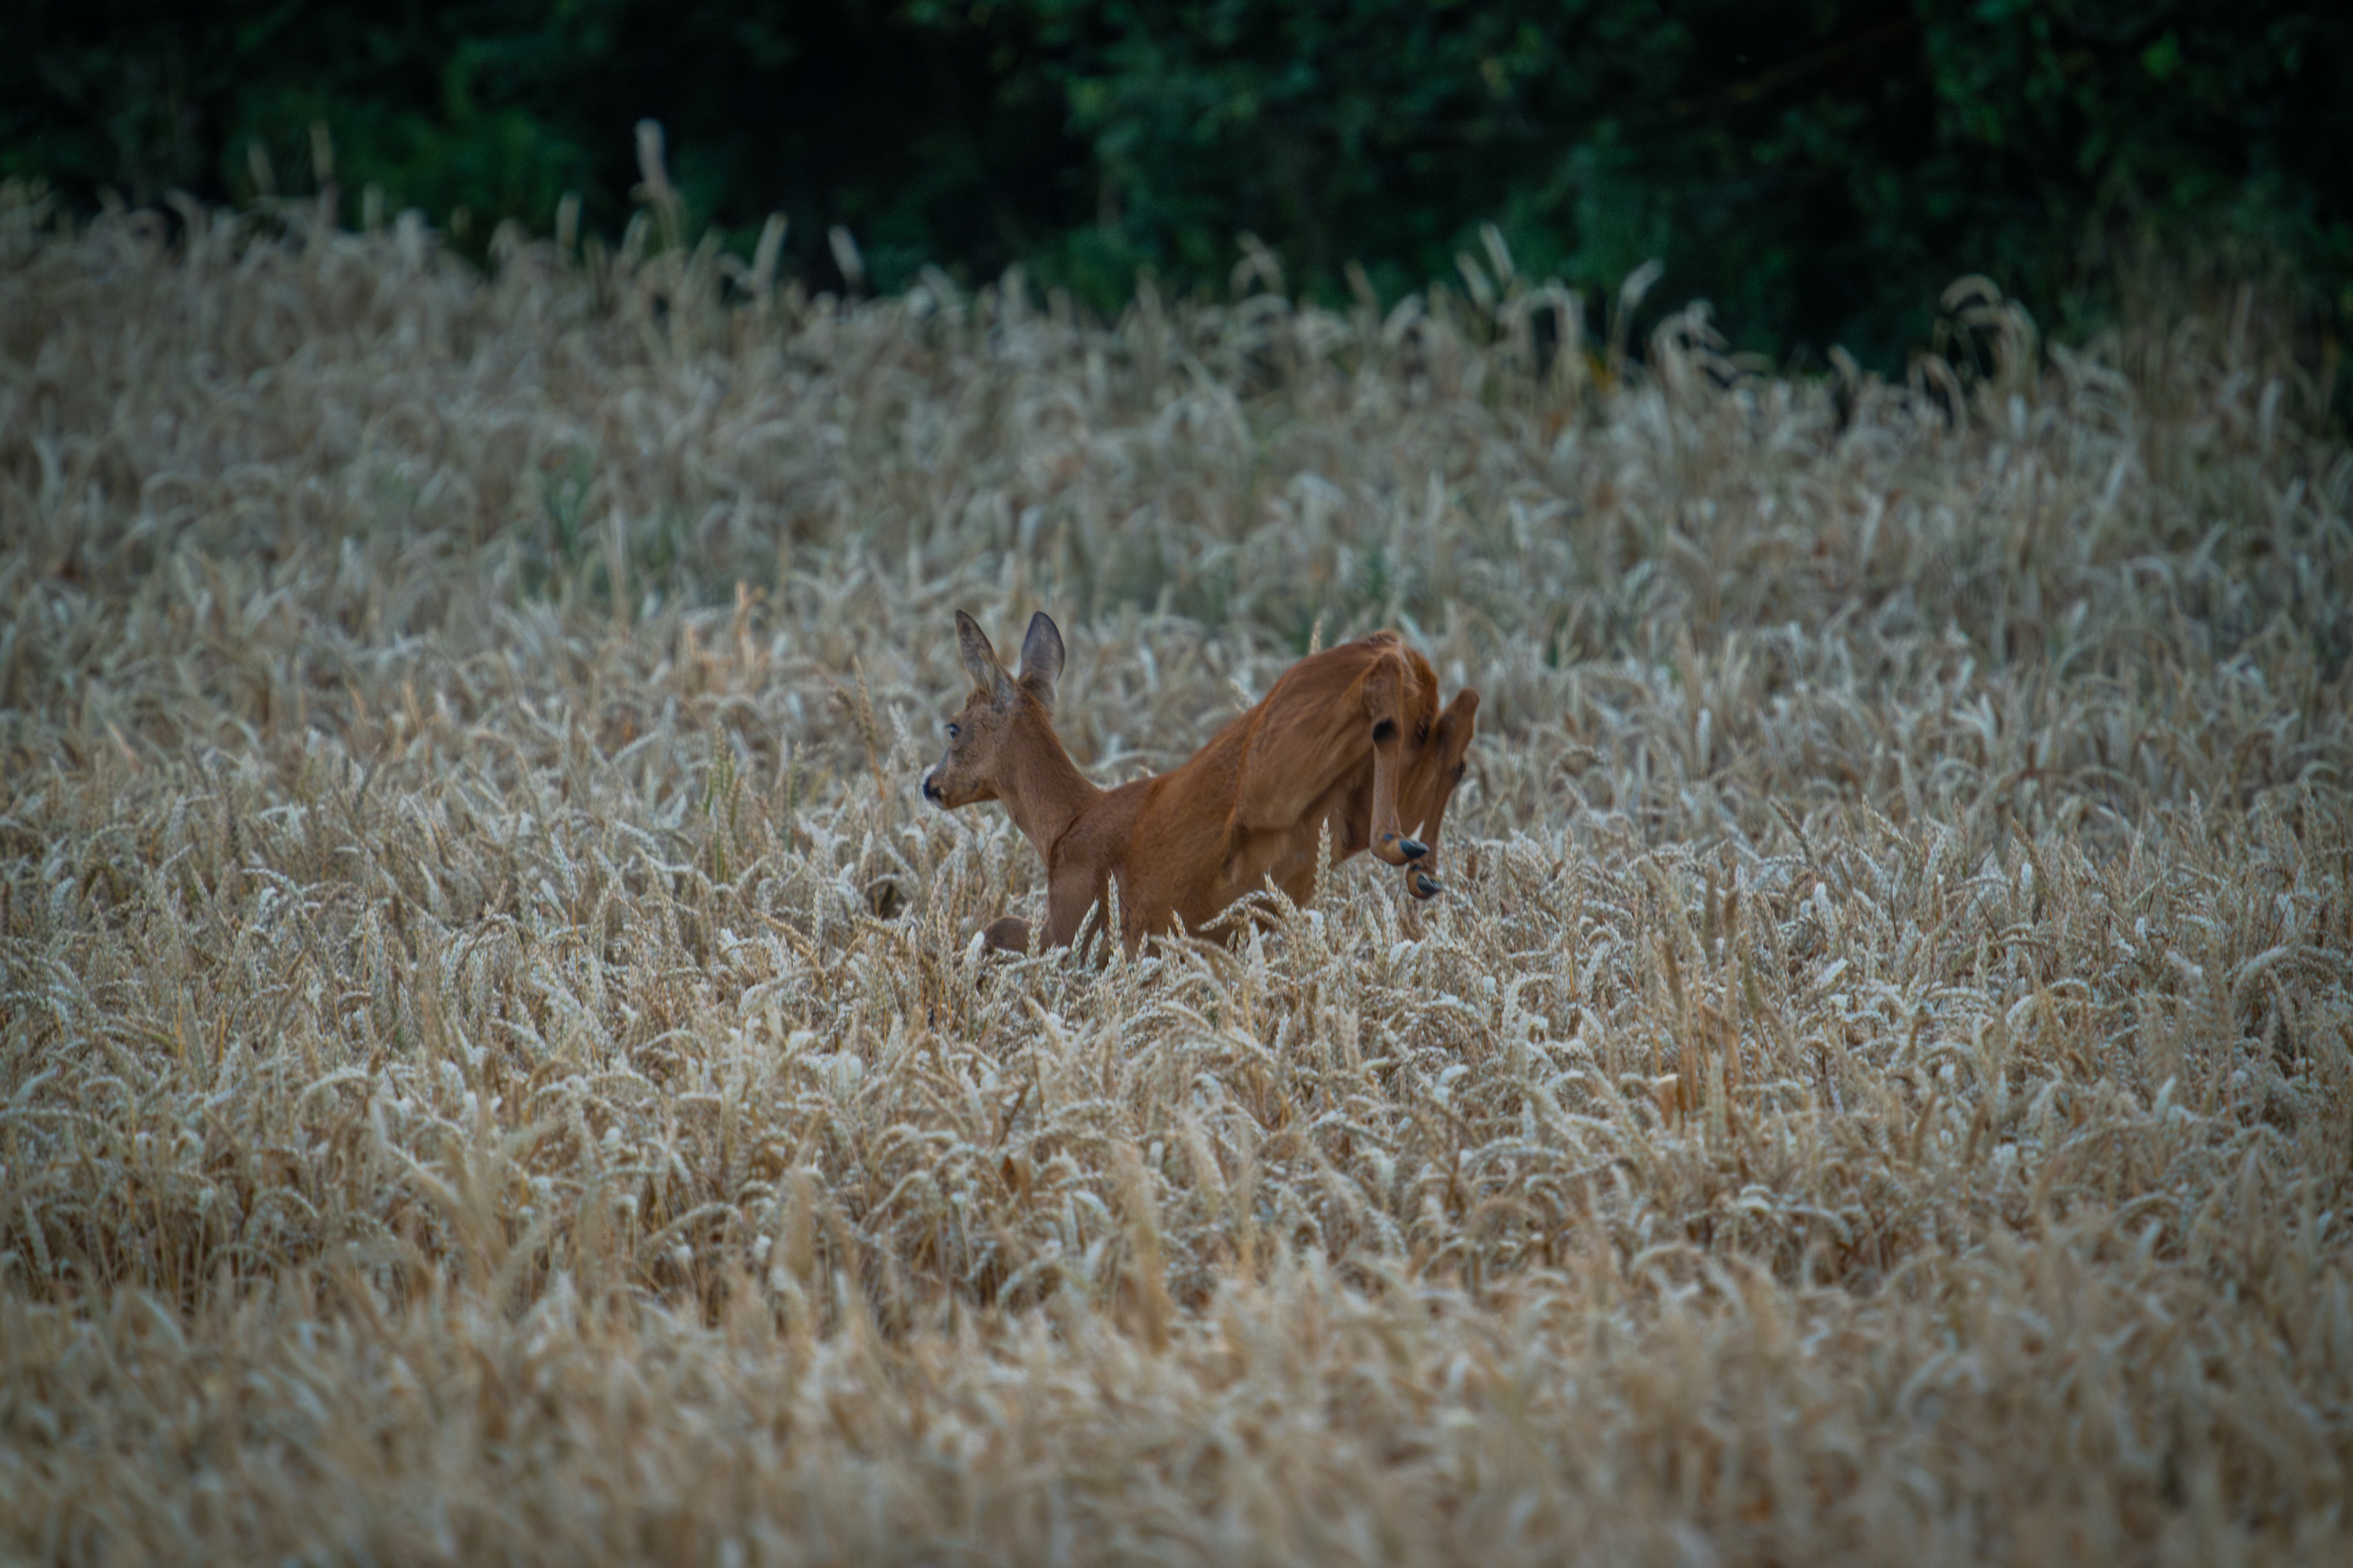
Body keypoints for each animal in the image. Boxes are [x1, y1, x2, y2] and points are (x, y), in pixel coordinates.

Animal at [921, 610, 1479, 956]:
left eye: (953, 726)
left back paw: (1397, 846)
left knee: (1387, 675)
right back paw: (1422, 868)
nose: (930, 784)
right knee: (1457, 716)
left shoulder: (1073, 924)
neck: (1064, 825)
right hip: (1363, 797)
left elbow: (997, 928)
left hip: (1275, 779)